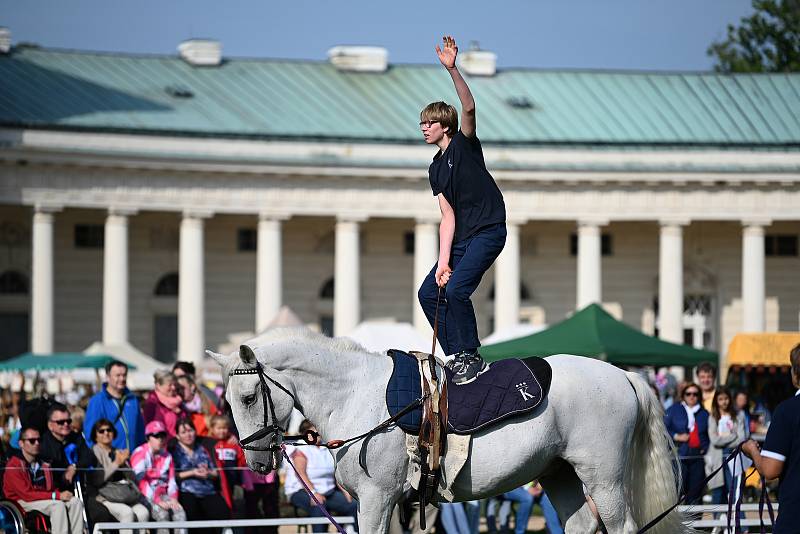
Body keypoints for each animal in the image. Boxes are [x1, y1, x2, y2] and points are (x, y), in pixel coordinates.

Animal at [209, 326, 692, 534]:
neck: (354, 394)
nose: (256, 463)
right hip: (561, 474)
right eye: (227, 402)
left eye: (248, 397)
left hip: (603, 478)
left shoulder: (377, 499)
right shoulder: (385, 504)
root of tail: (623, 375)